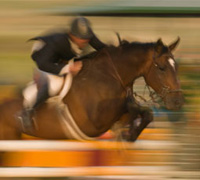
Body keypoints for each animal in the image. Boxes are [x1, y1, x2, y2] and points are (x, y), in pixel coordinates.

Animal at [0, 37, 184, 141]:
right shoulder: (94, 122)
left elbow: (146, 113)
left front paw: (130, 134)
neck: (114, 75)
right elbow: (129, 108)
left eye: (176, 67)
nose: (177, 102)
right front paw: (127, 131)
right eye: (162, 68)